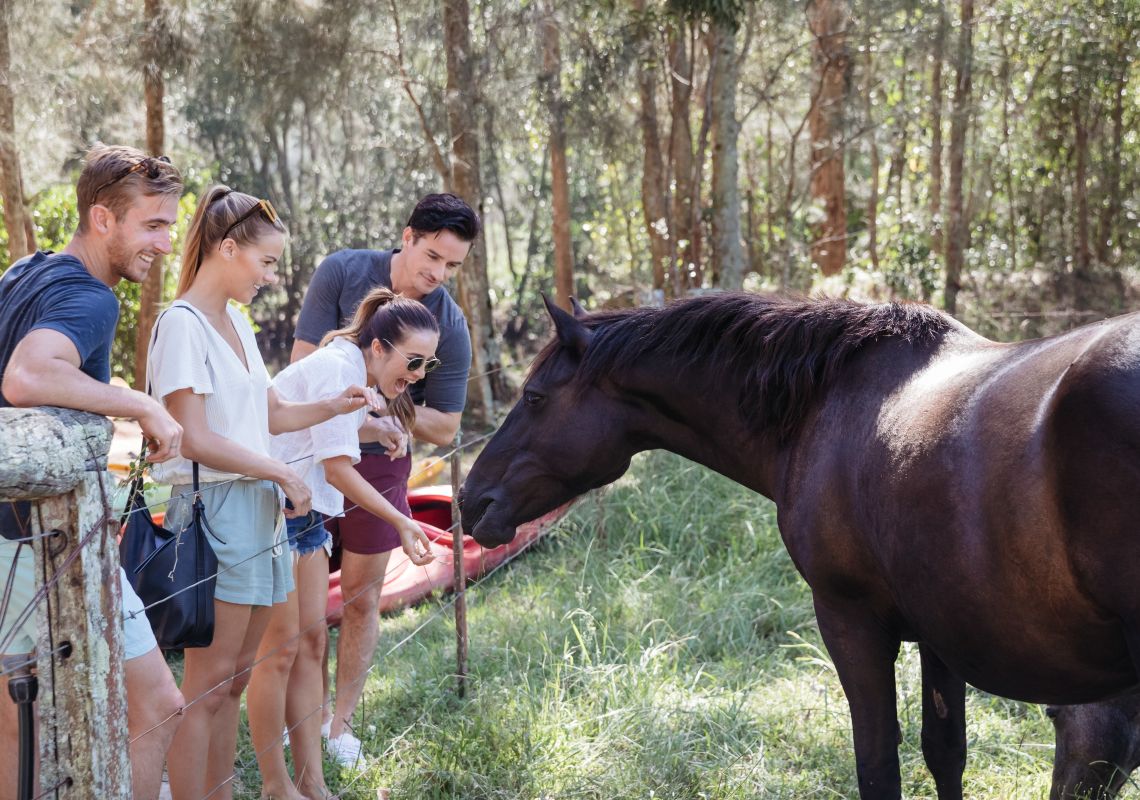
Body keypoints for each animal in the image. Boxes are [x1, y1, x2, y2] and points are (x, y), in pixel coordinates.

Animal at [458, 294, 1140, 800]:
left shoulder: (851, 621)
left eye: (535, 398)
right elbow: (945, 754)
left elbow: (878, 767)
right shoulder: (940, 631)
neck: (822, 406)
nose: (471, 502)